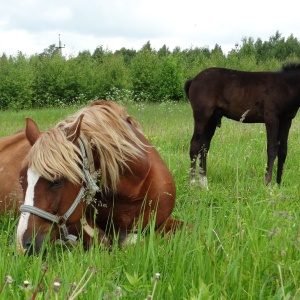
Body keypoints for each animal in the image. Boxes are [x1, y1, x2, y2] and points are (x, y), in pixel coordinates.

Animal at [17, 100, 183, 253]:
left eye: (57, 181)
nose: (23, 244)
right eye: (22, 179)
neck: (133, 189)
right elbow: (106, 241)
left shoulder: (162, 221)